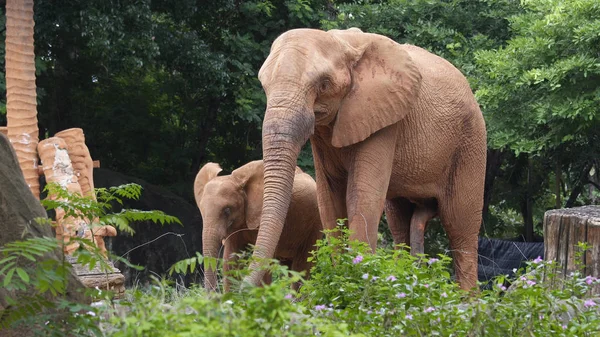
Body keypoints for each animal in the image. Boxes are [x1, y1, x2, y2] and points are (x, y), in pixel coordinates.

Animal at [248, 27, 488, 288]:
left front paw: (355, 280)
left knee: (460, 227)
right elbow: (329, 198)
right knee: (399, 222)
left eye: (324, 84)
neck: (342, 42)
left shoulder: (383, 116)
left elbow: (361, 193)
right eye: (264, 85)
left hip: (471, 142)